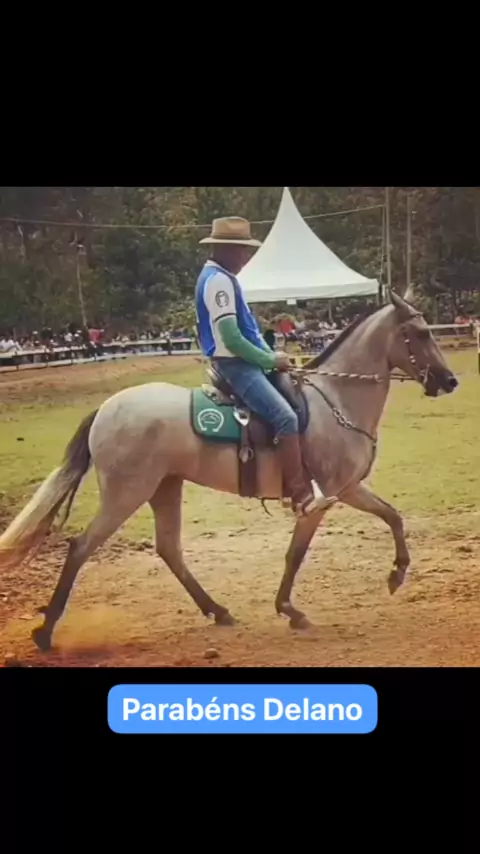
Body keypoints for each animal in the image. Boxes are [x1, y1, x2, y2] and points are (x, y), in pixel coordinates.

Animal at [0, 287, 458, 651]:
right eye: (420, 334)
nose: (450, 381)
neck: (336, 399)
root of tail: (107, 408)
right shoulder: (331, 494)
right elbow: (302, 551)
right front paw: (294, 608)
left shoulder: (341, 492)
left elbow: (390, 517)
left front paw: (393, 574)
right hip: (126, 494)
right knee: (81, 547)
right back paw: (45, 632)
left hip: (164, 487)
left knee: (169, 549)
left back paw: (217, 610)